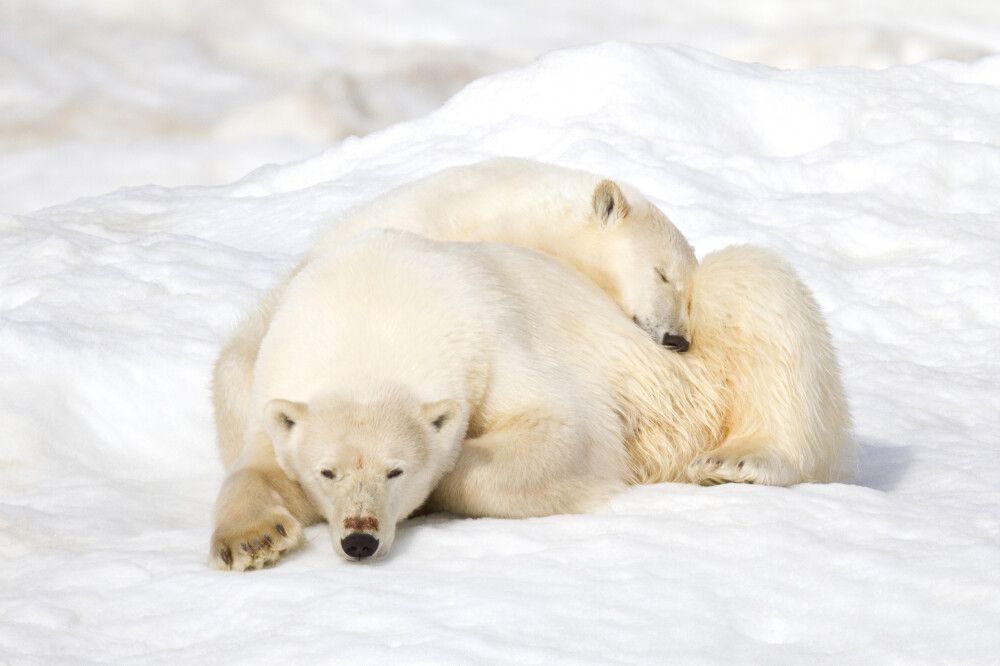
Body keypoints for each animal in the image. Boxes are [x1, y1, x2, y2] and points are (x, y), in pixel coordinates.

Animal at [211, 231, 852, 568]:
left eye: (397, 471)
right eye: (328, 471)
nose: (360, 539)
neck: (371, 314)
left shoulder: (491, 340)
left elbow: (569, 432)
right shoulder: (276, 377)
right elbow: (255, 465)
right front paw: (253, 540)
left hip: (697, 369)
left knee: (754, 286)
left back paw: (739, 459)